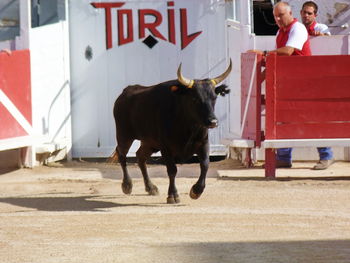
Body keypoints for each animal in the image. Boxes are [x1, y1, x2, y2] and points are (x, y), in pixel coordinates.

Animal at [112, 59, 232, 204]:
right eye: (195, 98)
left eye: (214, 97)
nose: (213, 122)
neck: (188, 127)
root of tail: (126, 91)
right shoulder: (166, 147)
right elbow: (172, 170)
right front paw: (173, 195)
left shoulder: (203, 143)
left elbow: (205, 165)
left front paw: (196, 191)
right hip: (124, 135)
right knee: (122, 155)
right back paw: (127, 185)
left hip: (149, 142)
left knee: (140, 157)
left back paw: (150, 187)